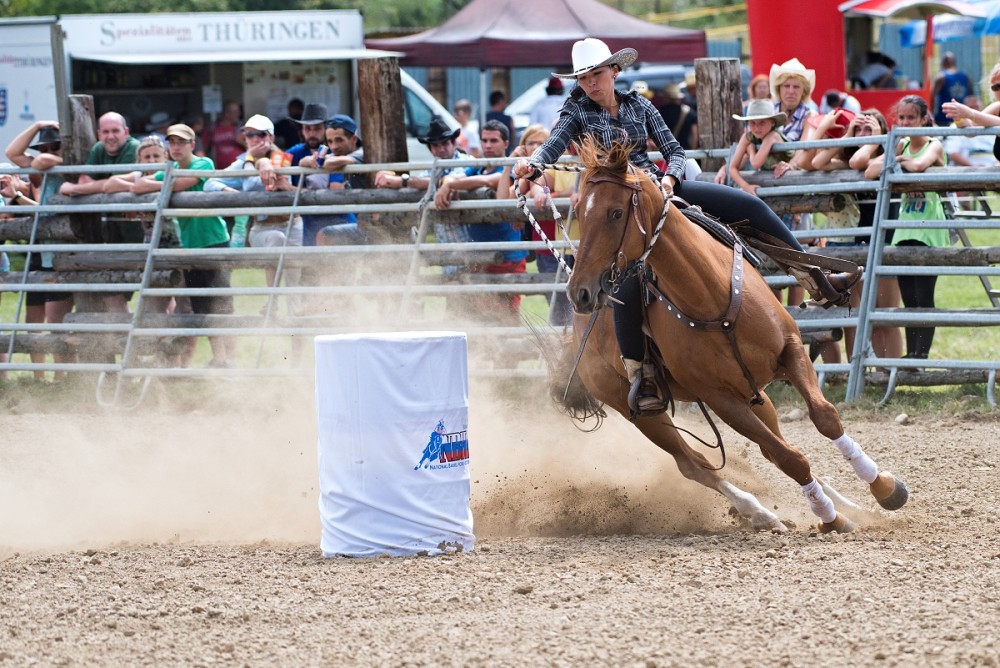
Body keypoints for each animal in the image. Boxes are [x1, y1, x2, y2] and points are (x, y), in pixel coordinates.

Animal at [560, 140, 912, 532]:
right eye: (580, 213)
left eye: (616, 212)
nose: (580, 292)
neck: (710, 295)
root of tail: (574, 337)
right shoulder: (721, 400)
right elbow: (790, 458)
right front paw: (829, 518)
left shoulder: (791, 352)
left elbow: (824, 418)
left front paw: (883, 486)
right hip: (640, 411)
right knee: (695, 463)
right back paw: (760, 512)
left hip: (757, 395)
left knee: (769, 445)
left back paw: (850, 505)